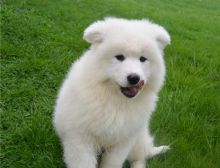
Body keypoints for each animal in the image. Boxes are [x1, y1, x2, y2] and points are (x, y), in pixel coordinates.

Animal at [53, 17, 170, 168]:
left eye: (143, 59)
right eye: (119, 57)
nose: (134, 78)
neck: (115, 100)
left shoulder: (123, 140)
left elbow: (112, 163)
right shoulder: (80, 139)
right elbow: (84, 163)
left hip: (138, 138)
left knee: (140, 158)